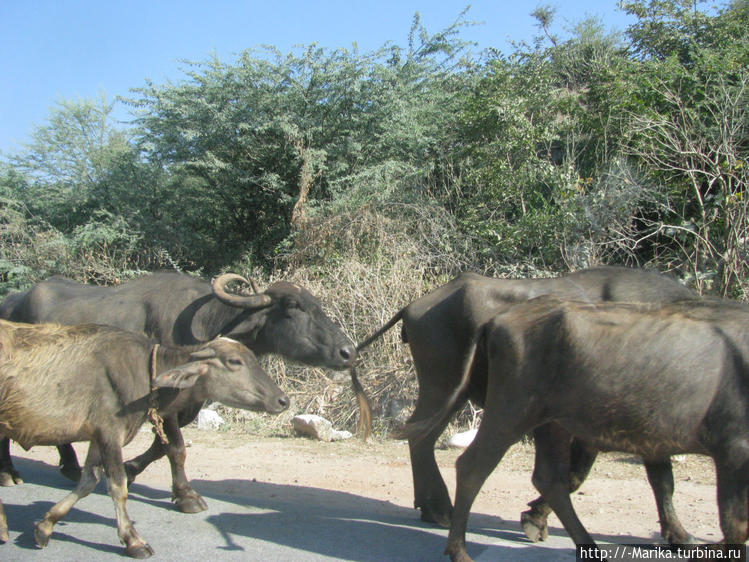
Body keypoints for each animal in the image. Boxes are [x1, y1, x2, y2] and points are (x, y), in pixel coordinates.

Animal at [0, 272, 360, 512]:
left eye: (317, 305)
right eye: (293, 305)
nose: (348, 352)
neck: (207, 324)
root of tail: (11, 301)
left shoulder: (188, 402)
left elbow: (163, 446)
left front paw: (130, 470)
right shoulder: (167, 396)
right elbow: (175, 447)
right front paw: (186, 495)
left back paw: (70, 465)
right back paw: (9, 473)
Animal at [0, 318, 288, 552]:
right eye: (234, 362)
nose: (282, 400)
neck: (140, 372)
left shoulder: (98, 436)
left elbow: (88, 482)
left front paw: (45, 526)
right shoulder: (110, 433)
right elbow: (118, 486)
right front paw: (132, 539)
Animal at [356, 264, 696, 540]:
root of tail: (414, 306)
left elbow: (642, 478)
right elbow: (600, 476)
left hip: (452, 392)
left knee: (420, 436)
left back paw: (430, 507)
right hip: (442, 385)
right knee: (420, 437)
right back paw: (440, 508)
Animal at [420, 296, 748, 556]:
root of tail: (497, 319)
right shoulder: (734, 451)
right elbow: (735, 524)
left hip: (552, 424)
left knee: (549, 478)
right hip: (510, 413)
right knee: (472, 467)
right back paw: (459, 551)